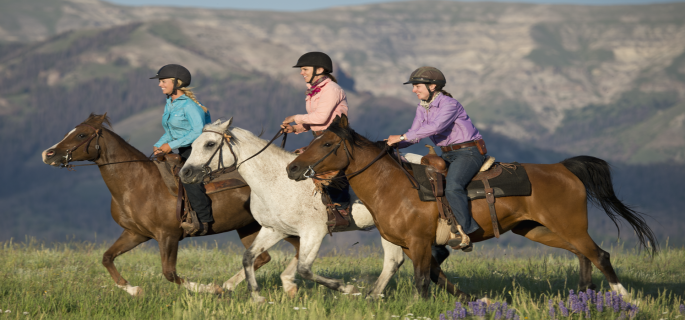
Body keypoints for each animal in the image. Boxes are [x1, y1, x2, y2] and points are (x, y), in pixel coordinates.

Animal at [42, 114, 300, 296]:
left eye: (82, 136)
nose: (48, 154)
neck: (137, 183)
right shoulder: (136, 233)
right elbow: (107, 258)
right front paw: (133, 290)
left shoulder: (168, 236)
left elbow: (169, 273)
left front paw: (208, 288)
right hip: (248, 226)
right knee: (262, 258)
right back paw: (231, 285)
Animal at [179, 119, 414, 302]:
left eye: (210, 144)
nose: (185, 173)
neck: (276, 181)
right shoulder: (274, 229)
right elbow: (248, 257)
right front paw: (256, 296)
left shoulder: (313, 232)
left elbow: (304, 269)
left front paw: (347, 288)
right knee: (393, 261)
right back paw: (372, 296)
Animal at [284, 115, 656, 300]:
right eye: (314, 140)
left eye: (328, 144)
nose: (292, 168)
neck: (394, 187)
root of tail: (563, 168)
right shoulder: (417, 245)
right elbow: (436, 276)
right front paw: (477, 302)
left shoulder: (420, 242)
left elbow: (423, 280)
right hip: (540, 230)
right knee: (583, 255)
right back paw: (585, 297)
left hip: (570, 226)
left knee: (600, 255)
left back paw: (626, 299)